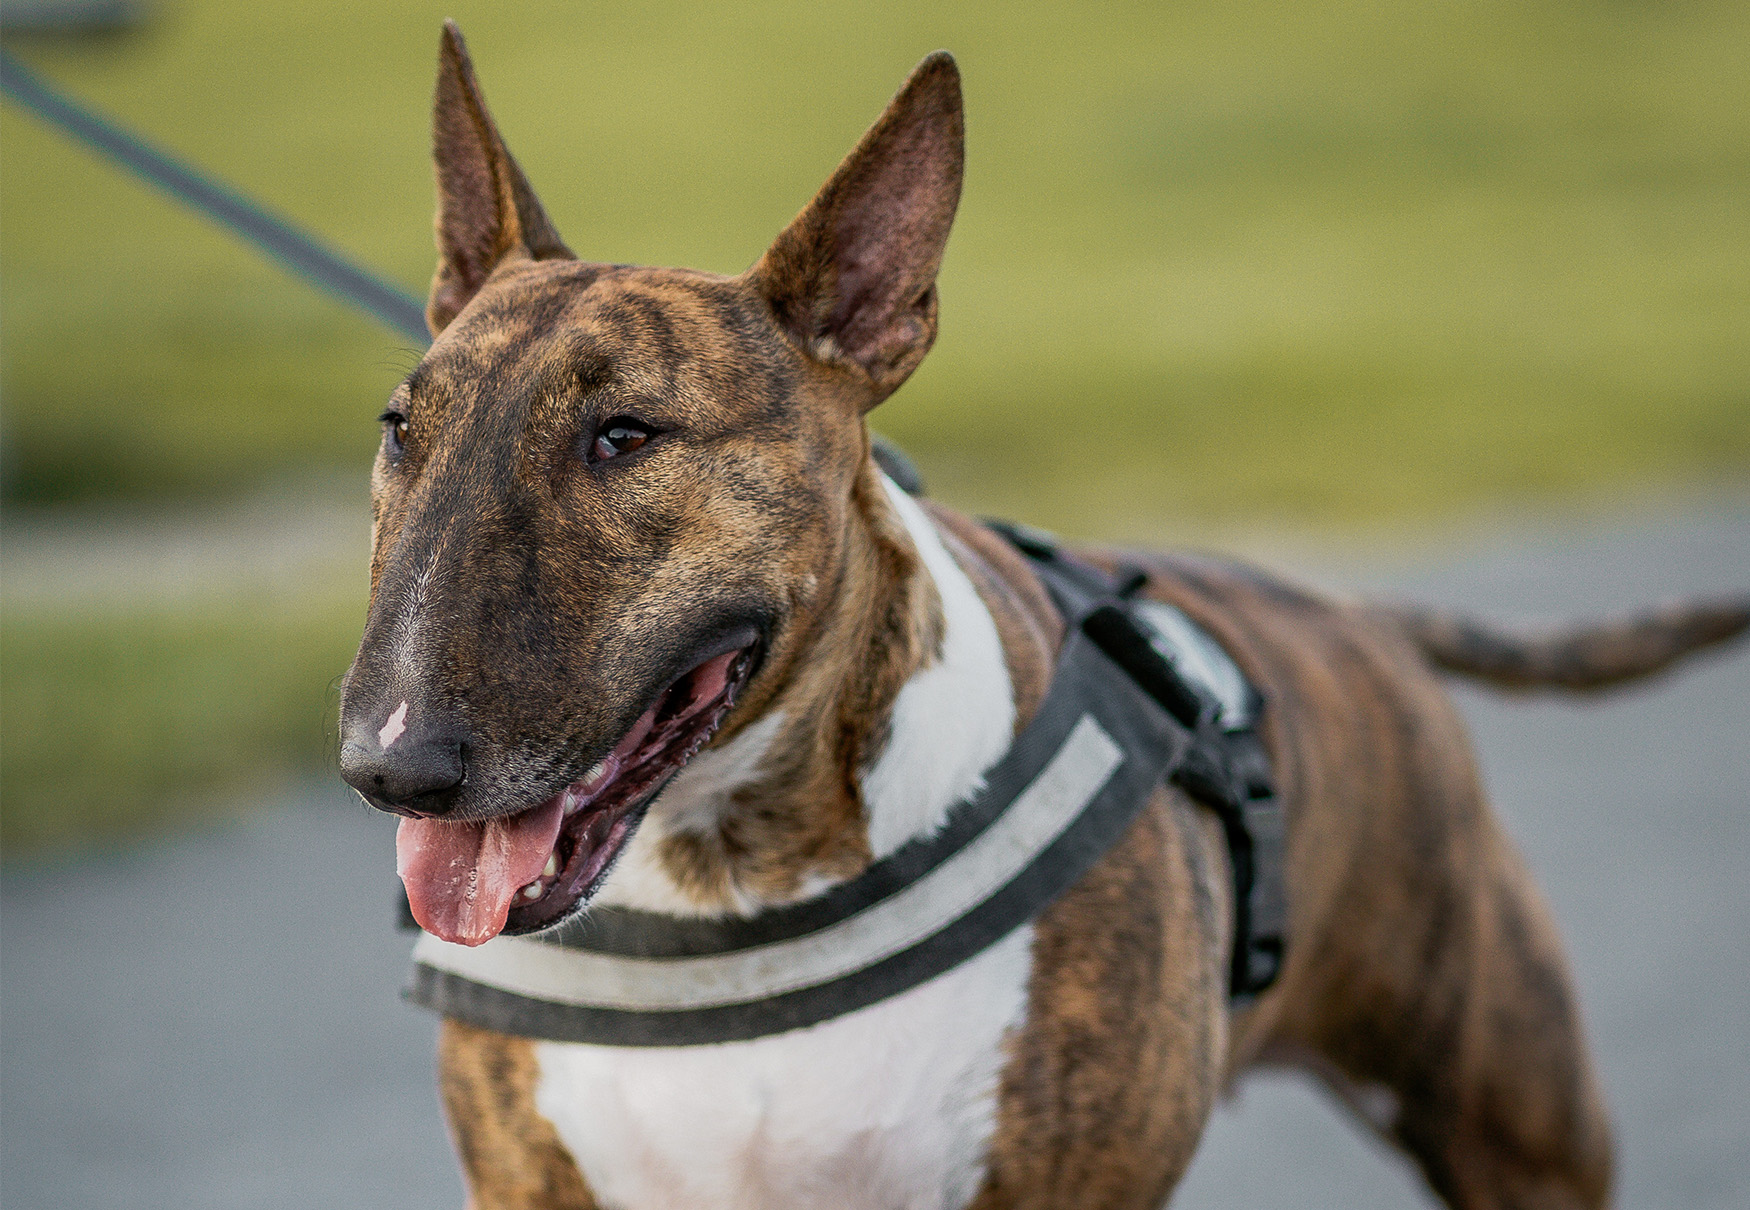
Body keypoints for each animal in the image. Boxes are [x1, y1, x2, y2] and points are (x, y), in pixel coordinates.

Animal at [341, 21, 1750, 1210]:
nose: (389, 767)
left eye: (625, 435)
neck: (730, 885)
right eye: (400, 428)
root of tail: (1357, 615)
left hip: (1515, 1121)